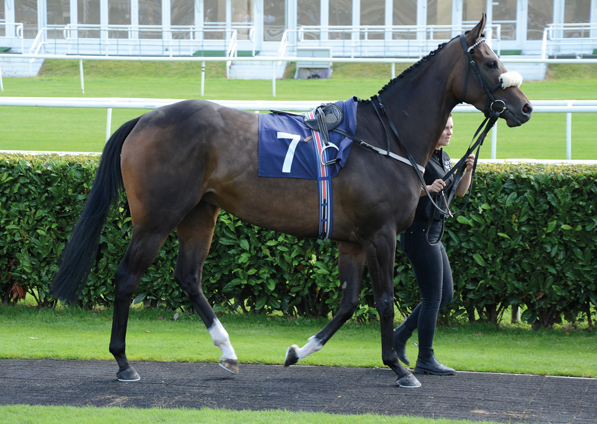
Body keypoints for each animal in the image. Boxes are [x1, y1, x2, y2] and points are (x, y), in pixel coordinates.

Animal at [49, 15, 528, 388]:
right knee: (127, 277)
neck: (384, 137)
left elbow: (348, 302)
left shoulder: (352, 241)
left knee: (189, 276)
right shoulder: (381, 234)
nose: (524, 108)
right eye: (491, 63)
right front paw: (399, 367)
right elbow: (384, 299)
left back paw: (227, 351)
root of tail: (144, 119)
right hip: (156, 218)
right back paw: (123, 362)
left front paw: (299, 351)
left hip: (201, 212)